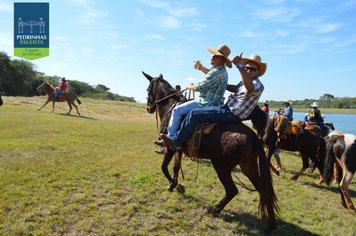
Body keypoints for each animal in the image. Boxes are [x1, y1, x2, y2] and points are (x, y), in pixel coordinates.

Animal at [143, 71, 280, 230]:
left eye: (148, 89)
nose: (148, 107)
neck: (171, 108)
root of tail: (253, 135)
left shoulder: (170, 147)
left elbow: (164, 167)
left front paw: (173, 185)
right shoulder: (179, 149)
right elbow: (176, 167)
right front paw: (175, 184)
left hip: (222, 167)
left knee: (232, 190)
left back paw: (215, 209)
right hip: (248, 167)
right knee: (263, 190)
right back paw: (271, 224)